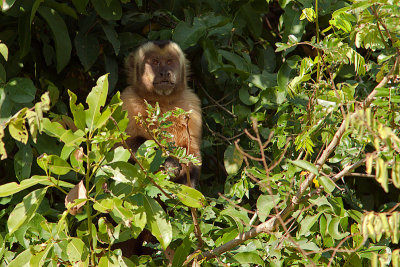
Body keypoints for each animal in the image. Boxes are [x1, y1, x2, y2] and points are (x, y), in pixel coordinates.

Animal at [118, 40, 200, 187]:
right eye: (155, 62)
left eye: (169, 61)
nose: (165, 73)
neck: (160, 100)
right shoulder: (127, 101)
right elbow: (123, 145)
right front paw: (169, 161)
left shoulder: (192, 103)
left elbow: (192, 154)